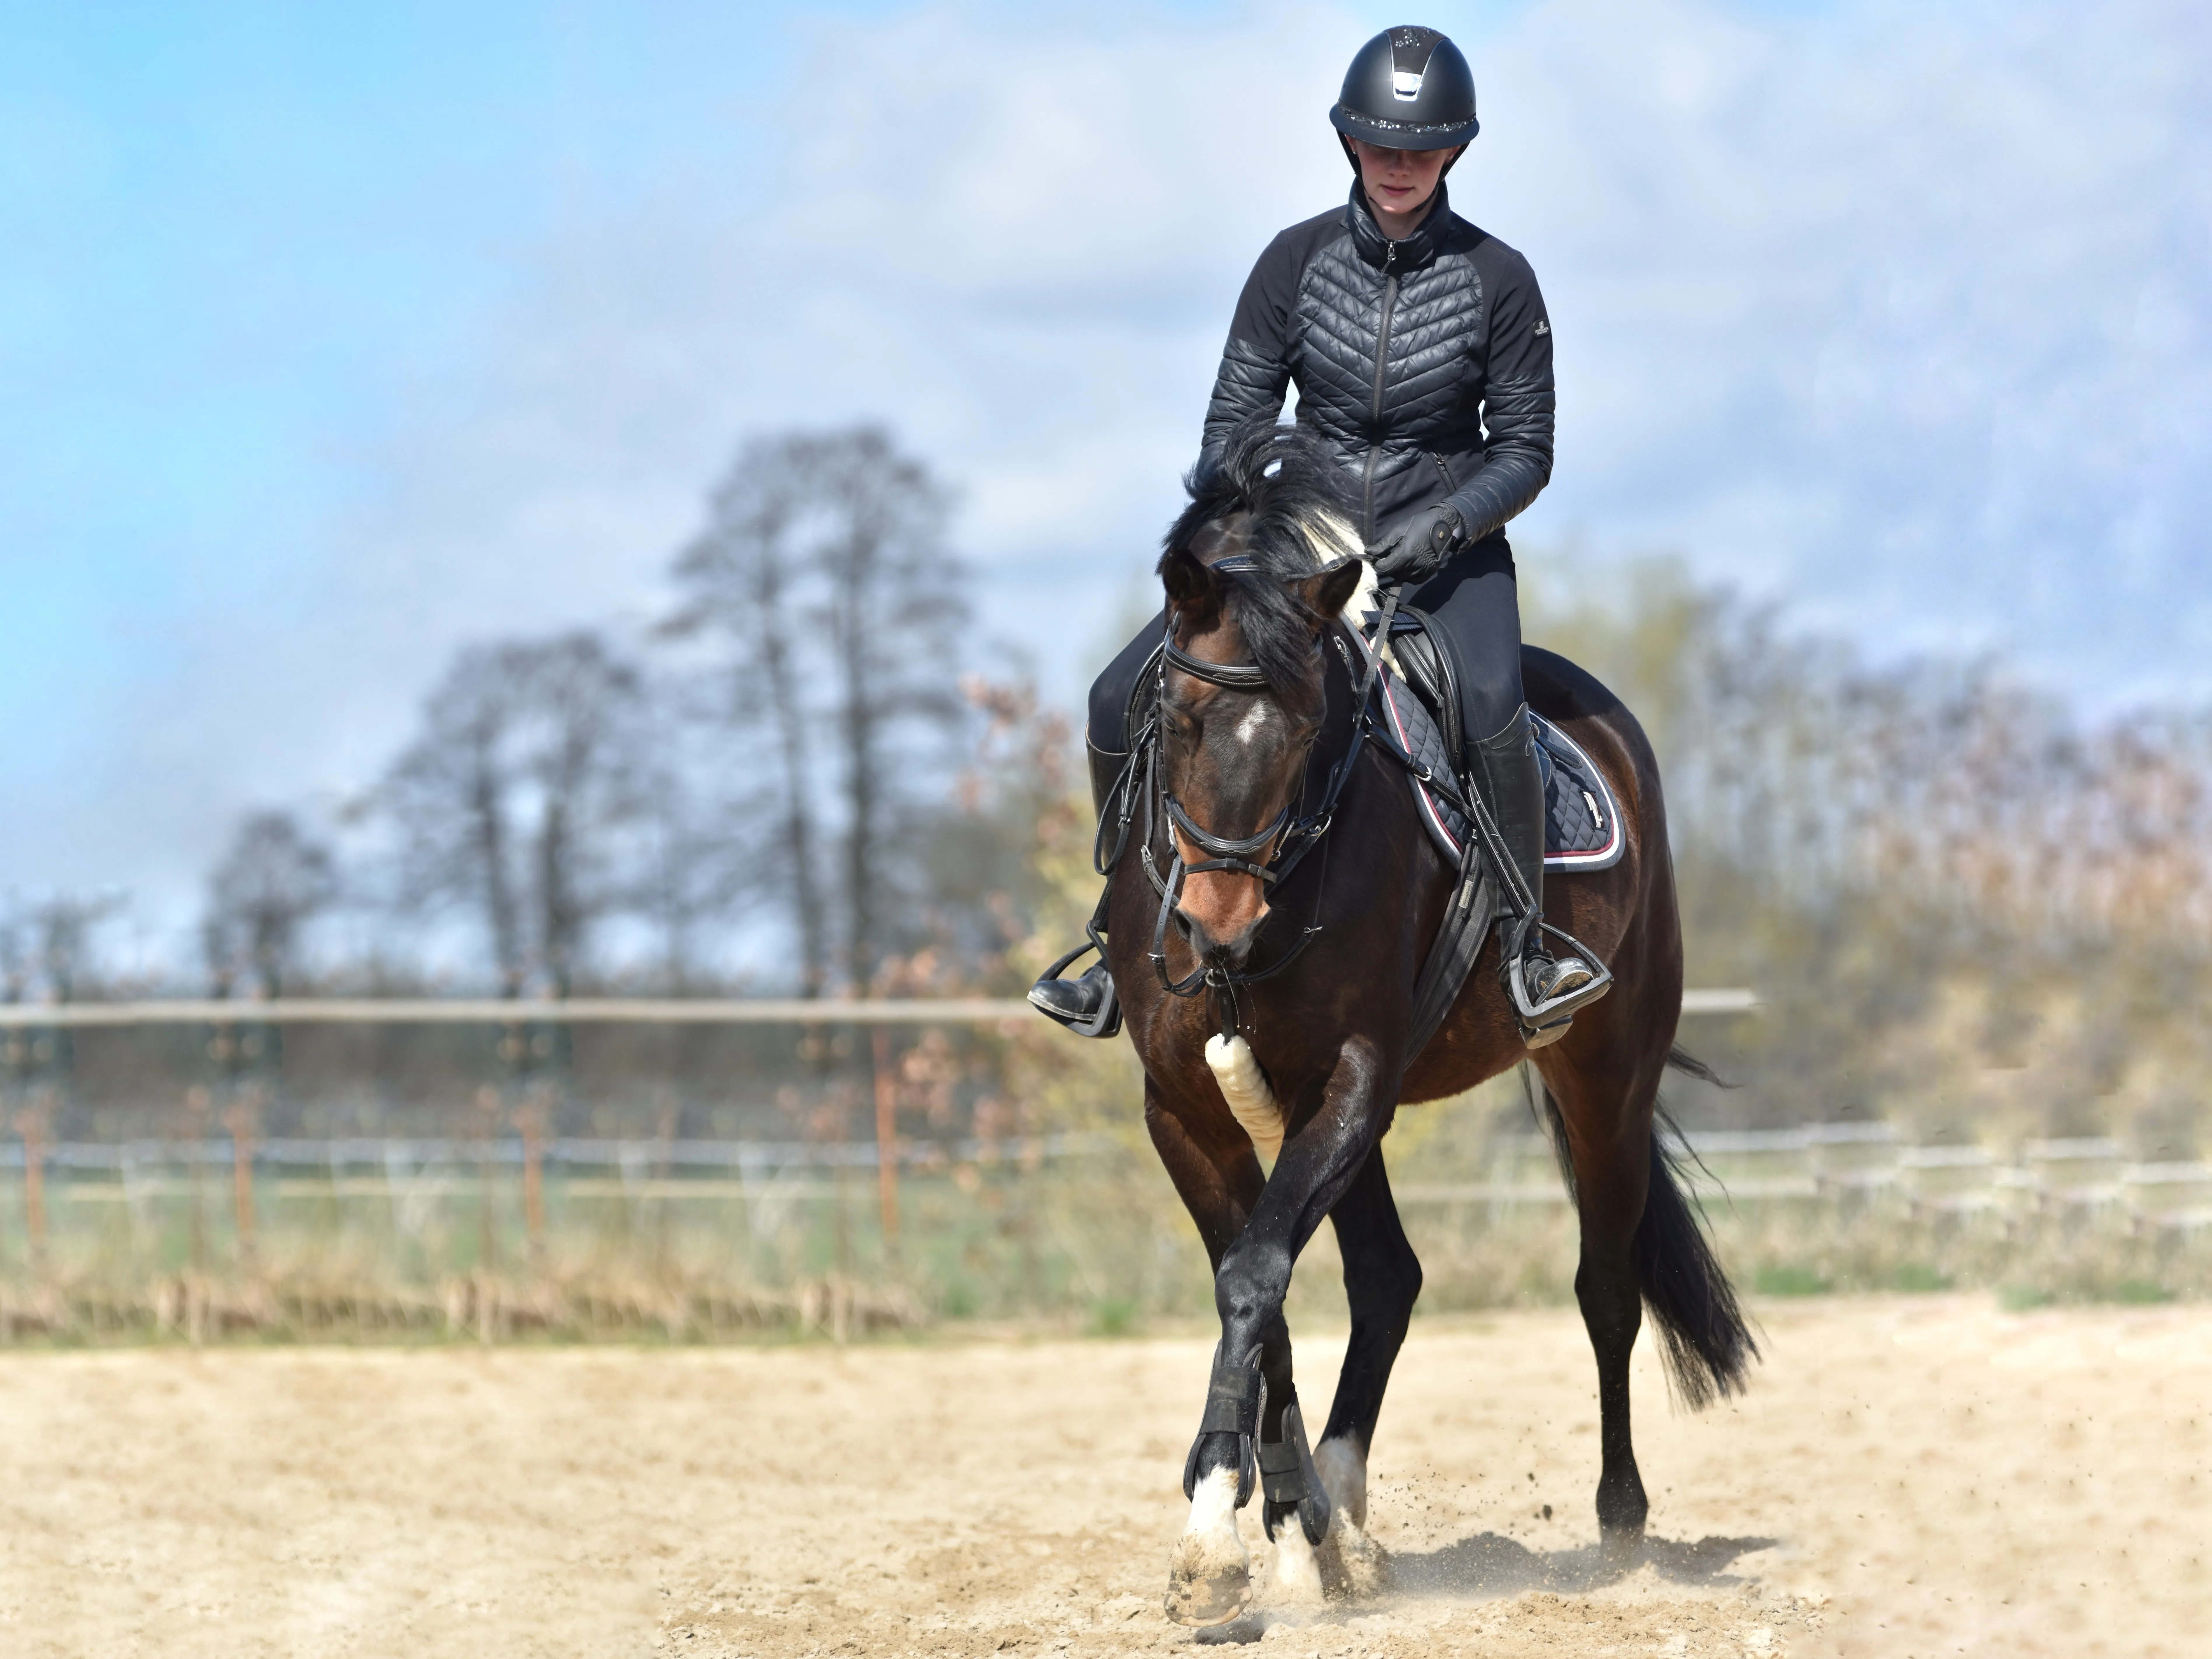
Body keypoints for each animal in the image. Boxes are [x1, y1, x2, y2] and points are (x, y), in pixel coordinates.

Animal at [1093, 422, 1757, 1625]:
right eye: (1176, 716)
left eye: (1313, 724)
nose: (1217, 920)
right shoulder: (1186, 1106)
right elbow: (1258, 1288)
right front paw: (1279, 1525)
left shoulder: (1351, 1077)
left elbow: (1254, 1277)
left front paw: (1218, 1536)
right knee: (1388, 1277)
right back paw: (1337, 1513)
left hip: (1604, 1079)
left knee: (1603, 1286)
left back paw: (1617, 1521)